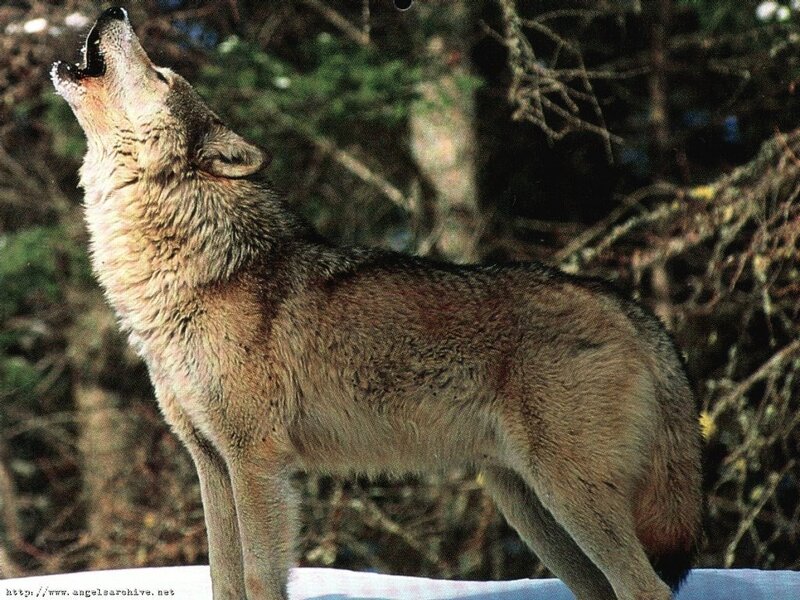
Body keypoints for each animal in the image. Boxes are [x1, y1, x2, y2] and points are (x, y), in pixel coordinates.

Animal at [52, 7, 702, 600]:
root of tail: (629, 307)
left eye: (162, 74)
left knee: (647, 588)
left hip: (568, 495)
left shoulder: (256, 460)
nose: (114, 10)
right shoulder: (210, 460)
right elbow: (223, 579)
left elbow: (260, 577)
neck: (197, 271)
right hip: (529, 506)